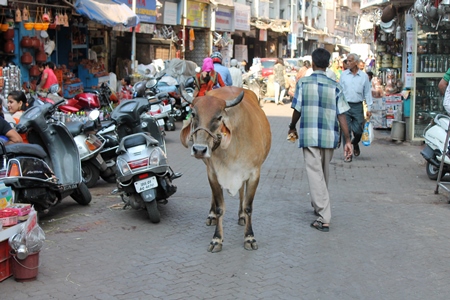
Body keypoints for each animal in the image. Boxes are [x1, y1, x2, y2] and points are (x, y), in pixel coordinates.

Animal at [179, 85, 270, 252]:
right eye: (194, 114)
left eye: (219, 117)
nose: (199, 149)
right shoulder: (212, 173)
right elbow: (220, 207)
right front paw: (216, 239)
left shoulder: (254, 173)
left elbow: (248, 206)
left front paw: (249, 237)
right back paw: (211, 216)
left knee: (241, 193)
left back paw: (241, 216)